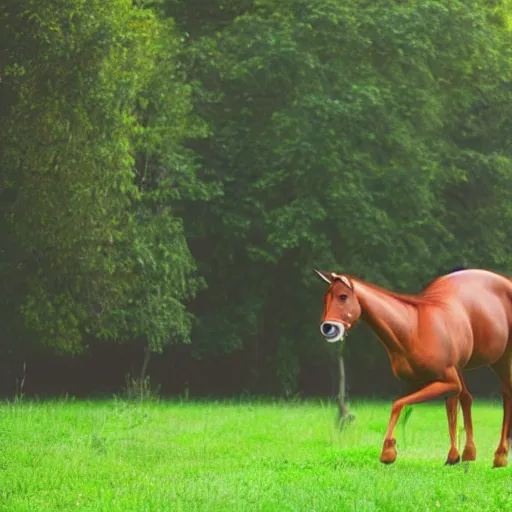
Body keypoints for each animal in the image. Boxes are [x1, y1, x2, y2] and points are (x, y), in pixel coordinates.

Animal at [314, 268, 512, 468]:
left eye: (343, 296)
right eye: (325, 298)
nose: (328, 328)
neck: (413, 329)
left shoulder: (448, 381)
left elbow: (398, 404)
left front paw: (388, 452)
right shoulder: (417, 383)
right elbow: (414, 404)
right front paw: (454, 456)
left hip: (502, 359)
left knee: (506, 393)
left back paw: (500, 456)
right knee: (467, 399)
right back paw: (469, 453)